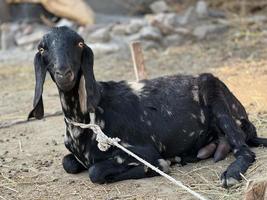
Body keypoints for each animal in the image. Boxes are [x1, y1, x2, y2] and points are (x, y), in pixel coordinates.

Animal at [28, 26, 267, 188]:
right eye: (42, 48)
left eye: (79, 44)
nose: (64, 73)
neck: (85, 124)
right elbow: (68, 162)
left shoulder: (141, 150)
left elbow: (95, 171)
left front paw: (160, 165)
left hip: (215, 94)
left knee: (244, 150)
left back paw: (230, 175)